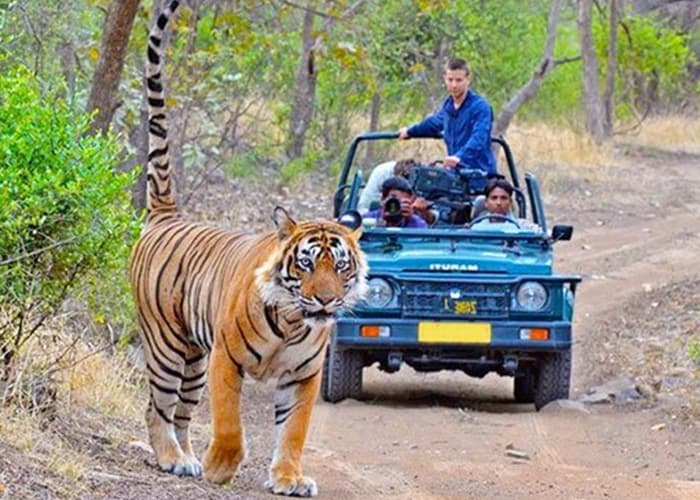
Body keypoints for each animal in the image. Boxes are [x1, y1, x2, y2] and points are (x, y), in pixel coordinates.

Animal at [128, 1, 367, 496]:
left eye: (340, 266)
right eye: (307, 264)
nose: (326, 300)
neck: (294, 322)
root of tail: (167, 215)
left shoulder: (303, 376)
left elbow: (293, 431)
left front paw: (289, 477)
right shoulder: (226, 359)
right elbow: (230, 423)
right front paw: (222, 467)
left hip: (193, 359)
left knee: (181, 412)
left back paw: (186, 458)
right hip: (166, 345)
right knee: (157, 406)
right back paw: (171, 458)